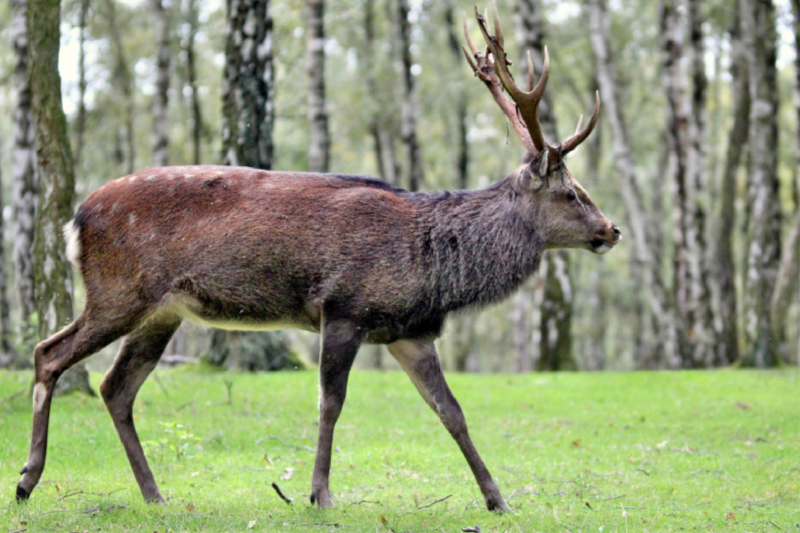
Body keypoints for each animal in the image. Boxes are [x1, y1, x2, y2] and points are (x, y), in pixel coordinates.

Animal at [17, 3, 620, 512]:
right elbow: (331, 402)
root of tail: (75, 218)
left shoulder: (411, 331)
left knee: (115, 387)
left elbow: (451, 411)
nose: (611, 229)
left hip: (162, 312)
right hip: (119, 289)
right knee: (48, 352)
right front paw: (319, 494)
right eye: (572, 193)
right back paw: (27, 480)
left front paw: (498, 500)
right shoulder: (344, 306)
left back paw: (154, 495)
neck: (432, 267)